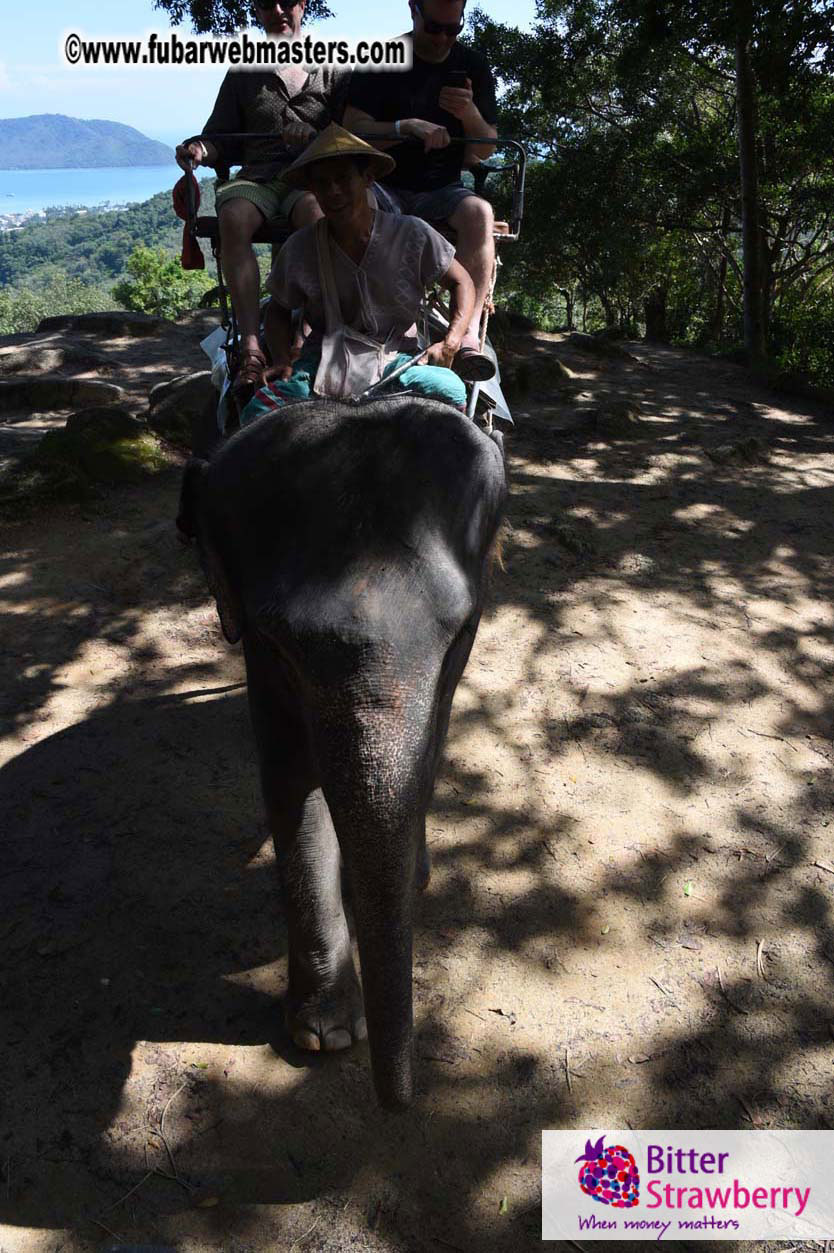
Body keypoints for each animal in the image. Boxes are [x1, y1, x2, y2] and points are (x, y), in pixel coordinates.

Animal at [178, 393, 507, 1108]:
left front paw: (411, 878)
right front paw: (324, 1035)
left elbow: (432, 742)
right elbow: (289, 783)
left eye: (461, 628)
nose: (399, 1106)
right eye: (279, 643)